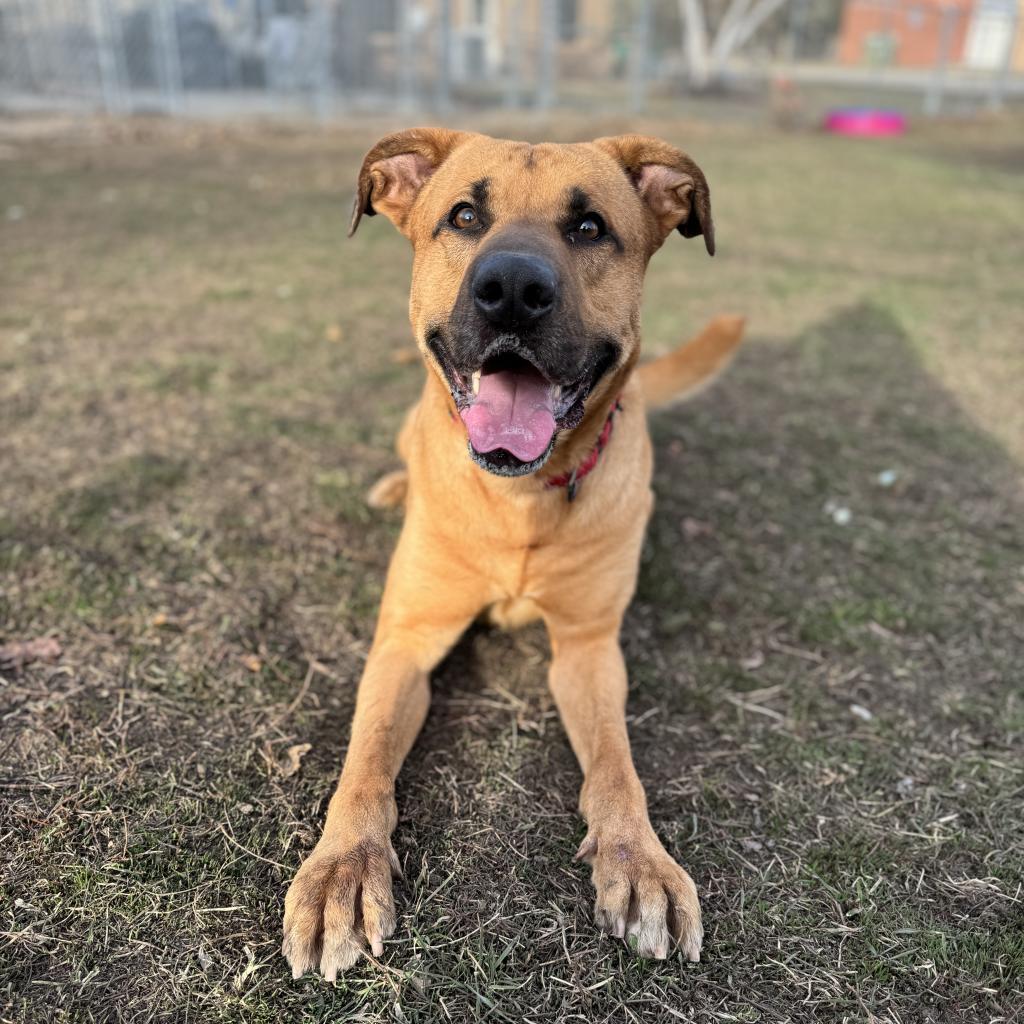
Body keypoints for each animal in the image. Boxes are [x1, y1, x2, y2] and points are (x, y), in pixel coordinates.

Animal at [282, 128, 745, 974]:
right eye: (465, 215)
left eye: (590, 227)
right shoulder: (407, 640)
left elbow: (617, 768)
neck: (520, 501)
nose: (512, 290)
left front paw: (637, 858)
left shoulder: (588, 650)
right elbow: (366, 760)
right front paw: (342, 867)